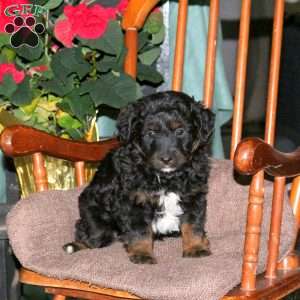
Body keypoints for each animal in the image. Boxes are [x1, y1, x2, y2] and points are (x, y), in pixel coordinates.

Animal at [64, 90, 214, 264]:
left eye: (180, 131)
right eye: (151, 133)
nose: (166, 159)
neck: (167, 178)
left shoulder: (193, 196)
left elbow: (193, 224)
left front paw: (196, 247)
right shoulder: (134, 200)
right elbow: (140, 231)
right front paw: (142, 254)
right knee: (90, 235)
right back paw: (75, 245)